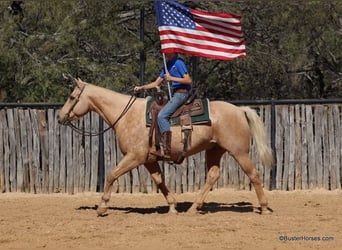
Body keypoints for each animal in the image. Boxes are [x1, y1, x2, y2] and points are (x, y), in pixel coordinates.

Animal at [57, 78, 274, 217]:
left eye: (71, 97)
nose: (60, 117)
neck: (126, 115)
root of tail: (240, 110)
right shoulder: (149, 160)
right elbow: (159, 181)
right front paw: (173, 206)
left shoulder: (134, 157)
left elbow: (111, 175)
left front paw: (102, 207)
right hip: (214, 150)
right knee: (212, 176)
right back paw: (193, 208)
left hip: (240, 152)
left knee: (254, 175)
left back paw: (264, 207)